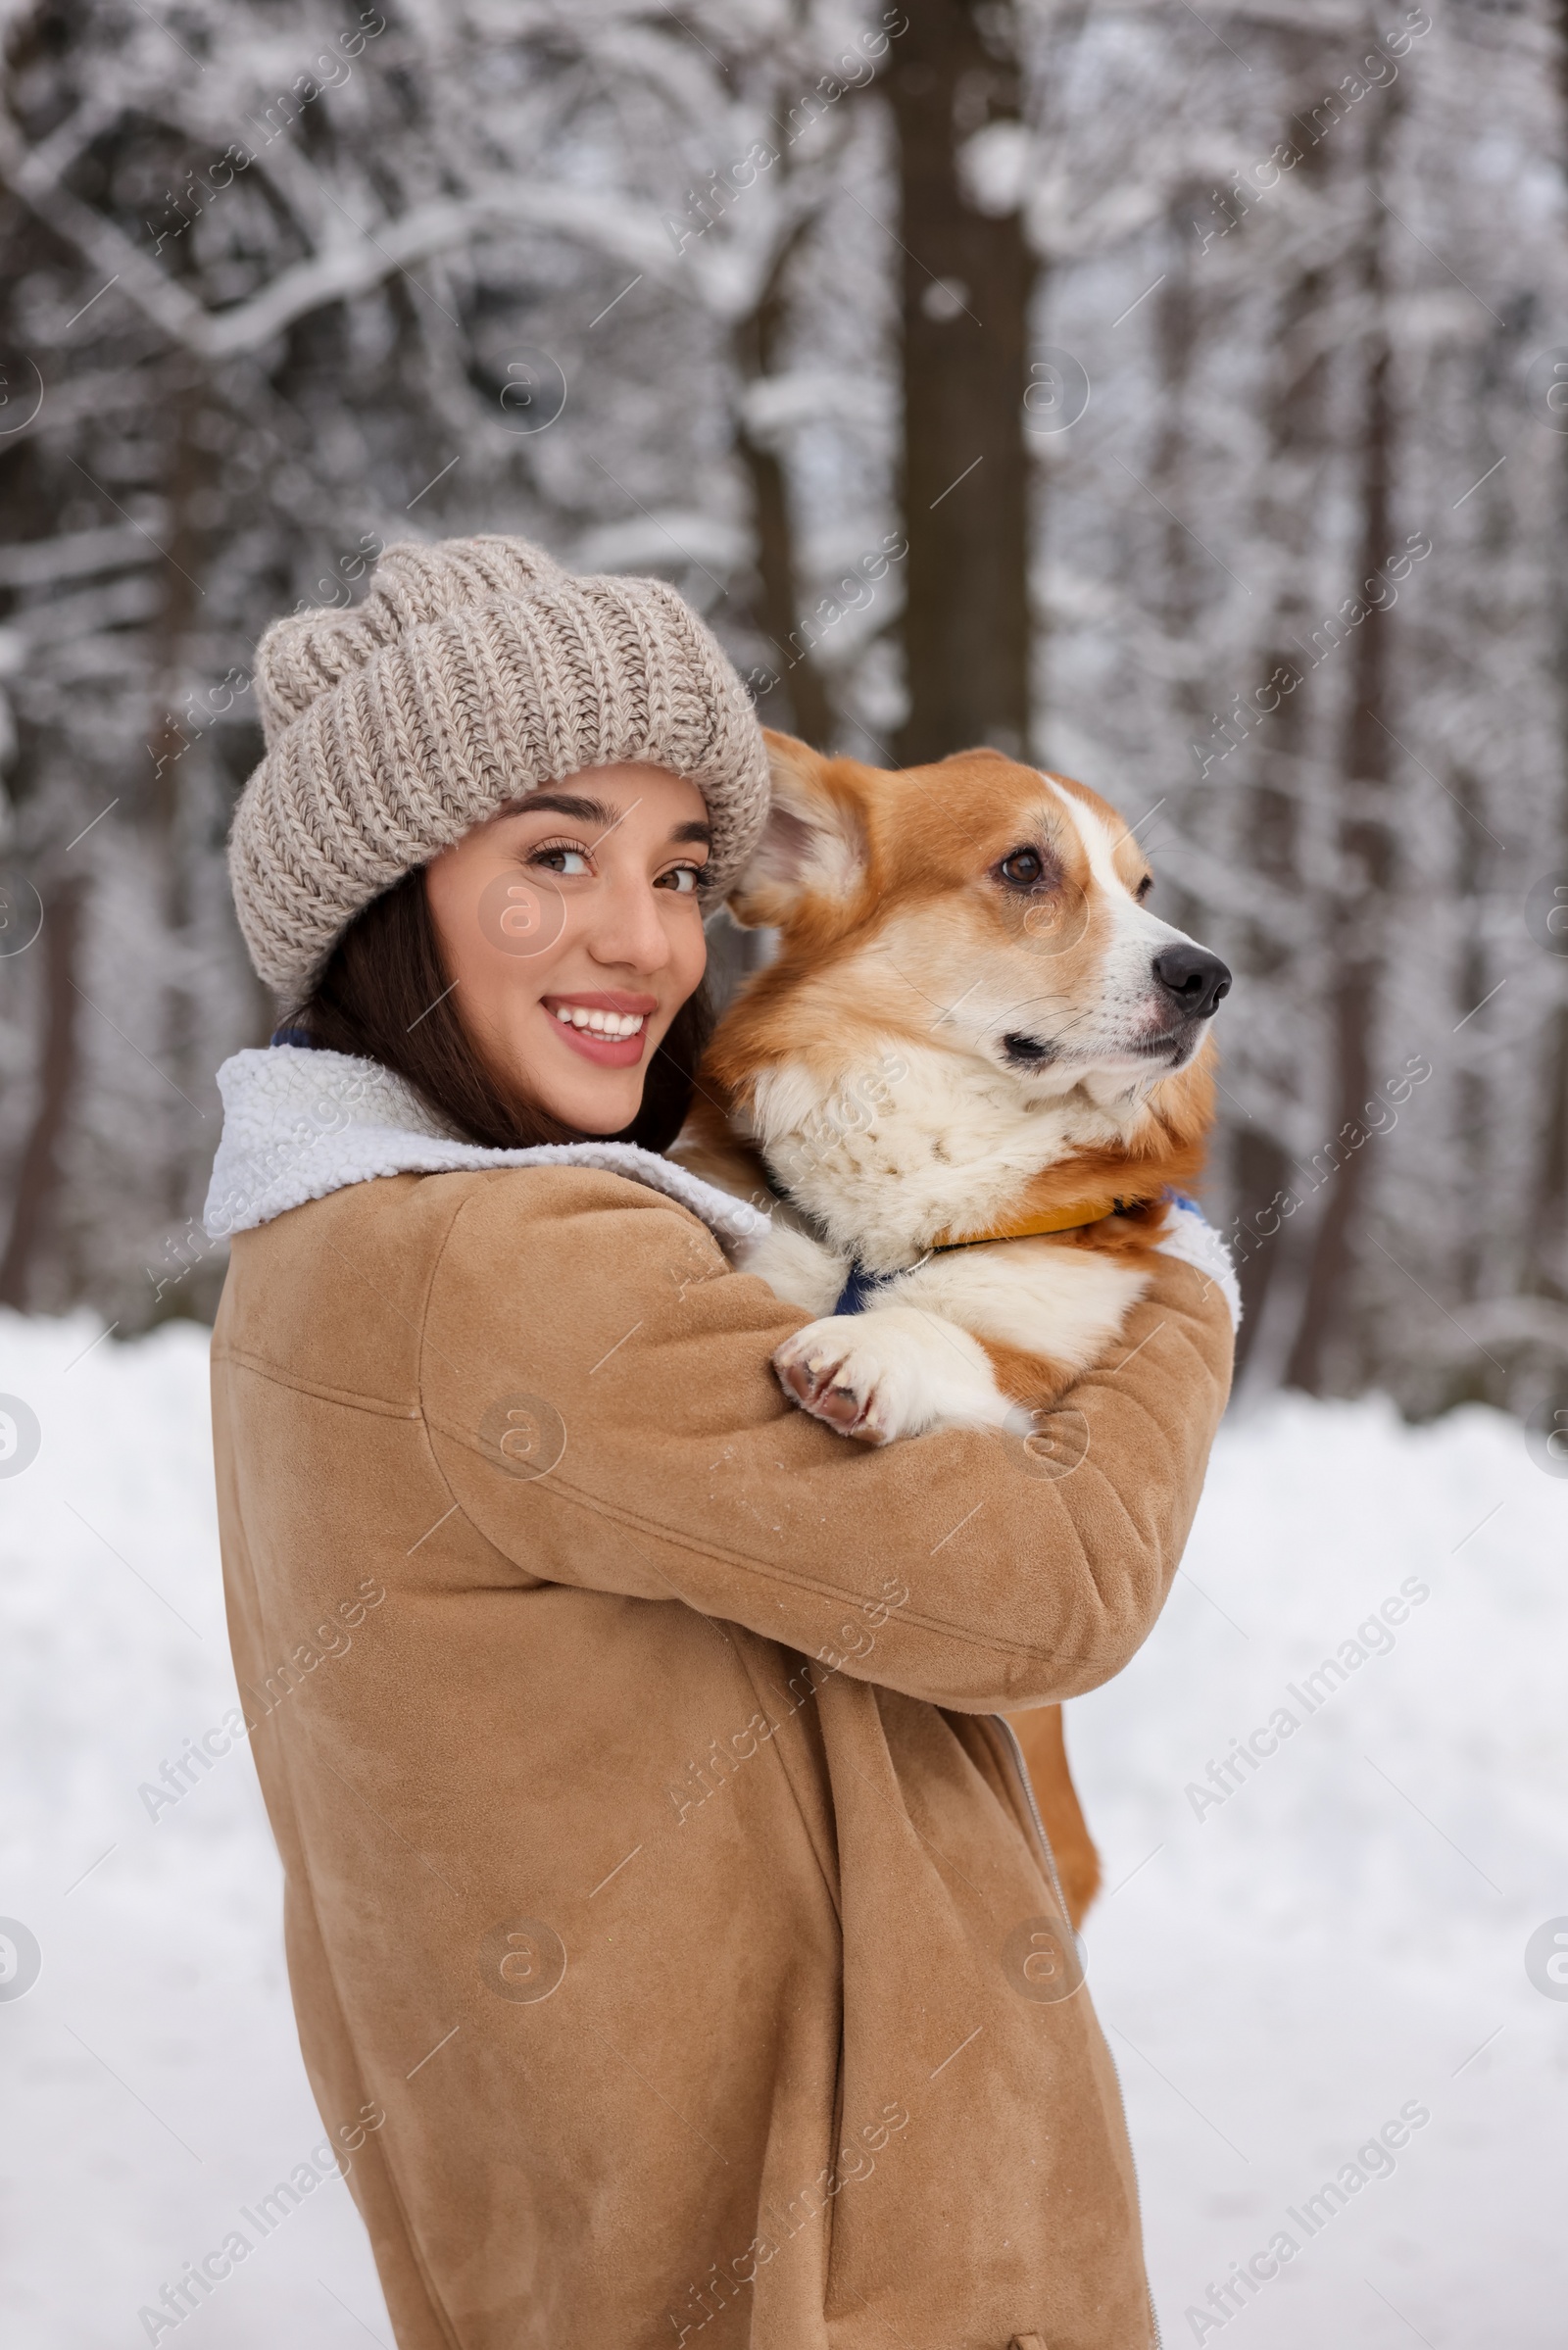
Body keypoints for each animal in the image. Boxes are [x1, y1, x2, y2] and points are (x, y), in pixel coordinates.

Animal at [676, 733, 1241, 1927]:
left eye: (1142, 888)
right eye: (1025, 867)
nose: (1208, 977)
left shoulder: (1034, 1383)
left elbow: (951, 1338)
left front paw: (865, 1351)